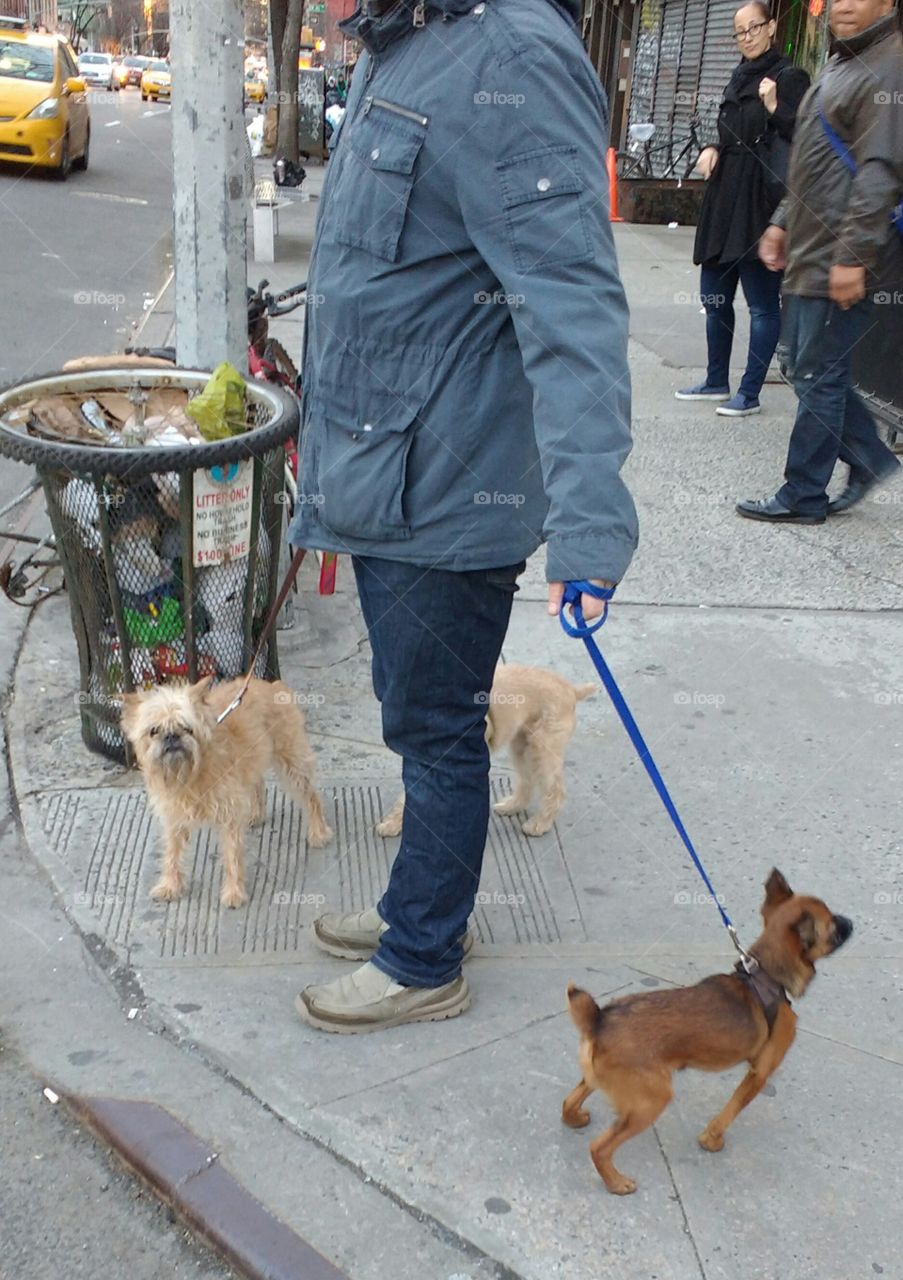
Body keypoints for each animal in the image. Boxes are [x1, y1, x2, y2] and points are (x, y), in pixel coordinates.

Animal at [120, 680, 330, 911]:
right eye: (154, 730)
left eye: (187, 728)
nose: (171, 736)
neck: (189, 773)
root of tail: (273, 685)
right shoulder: (174, 819)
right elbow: (172, 854)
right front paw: (170, 886)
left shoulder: (229, 815)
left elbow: (232, 855)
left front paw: (234, 892)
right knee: (257, 782)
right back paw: (256, 814)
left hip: (293, 762)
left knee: (311, 797)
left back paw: (319, 831)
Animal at [374, 670, 591, 839]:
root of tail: (571, 690)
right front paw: (394, 824)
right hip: (521, 746)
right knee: (527, 781)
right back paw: (511, 806)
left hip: (541, 750)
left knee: (555, 790)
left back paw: (540, 824)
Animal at [563, 875, 850, 1192]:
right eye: (834, 924)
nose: (850, 921)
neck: (766, 976)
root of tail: (599, 1020)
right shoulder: (759, 1074)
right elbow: (731, 1110)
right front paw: (711, 1140)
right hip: (651, 1102)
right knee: (599, 1147)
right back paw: (616, 1182)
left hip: (601, 1079)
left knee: (570, 1100)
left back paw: (574, 1118)